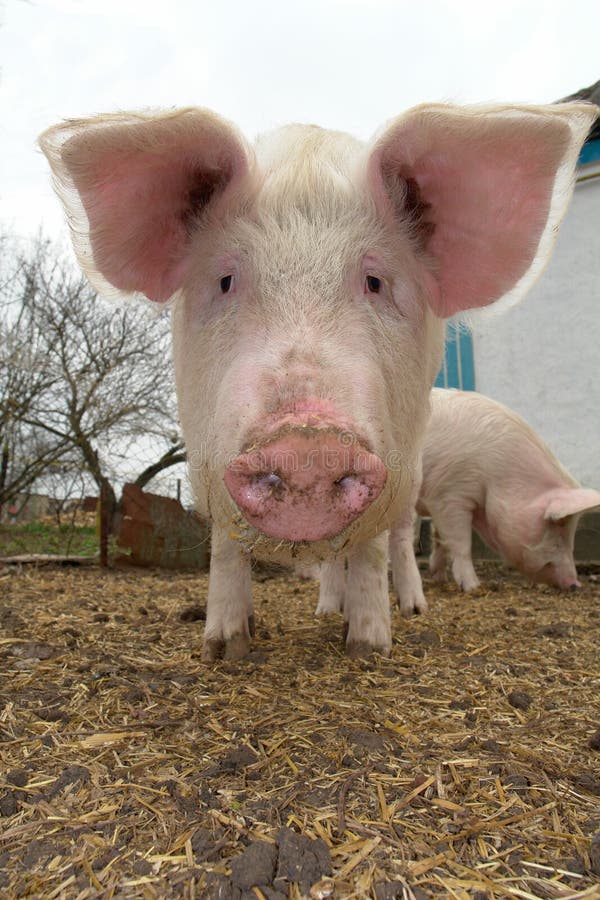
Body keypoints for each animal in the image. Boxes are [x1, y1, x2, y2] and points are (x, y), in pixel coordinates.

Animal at [39, 101, 596, 660]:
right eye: (225, 280)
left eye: (375, 281)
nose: (306, 440)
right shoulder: (207, 462)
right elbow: (227, 551)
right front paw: (224, 648)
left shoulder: (409, 472)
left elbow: (373, 552)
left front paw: (369, 647)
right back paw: (325, 612)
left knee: (398, 542)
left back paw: (408, 610)